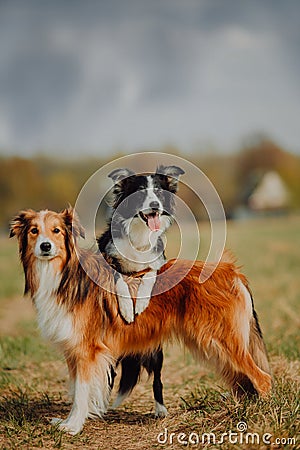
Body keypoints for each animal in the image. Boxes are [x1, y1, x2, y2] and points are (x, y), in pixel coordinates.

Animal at [9, 208, 272, 436]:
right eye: (34, 231)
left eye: (56, 231)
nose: (45, 246)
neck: (64, 276)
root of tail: (231, 271)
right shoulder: (73, 352)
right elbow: (75, 390)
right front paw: (68, 421)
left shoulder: (87, 352)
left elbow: (81, 393)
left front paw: (73, 426)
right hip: (211, 346)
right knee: (242, 381)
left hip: (222, 342)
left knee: (263, 379)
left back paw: (261, 415)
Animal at [97, 164, 184, 414]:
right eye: (141, 192)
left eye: (159, 192)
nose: (155, 205)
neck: (139, 235)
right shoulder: (108, 258)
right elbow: (119, 278)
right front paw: (127, 308)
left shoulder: (158, 263)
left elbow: (150, 274)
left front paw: (142, 302)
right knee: (110, 375)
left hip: (156, 352)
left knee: (157, 379)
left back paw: (160, 409)